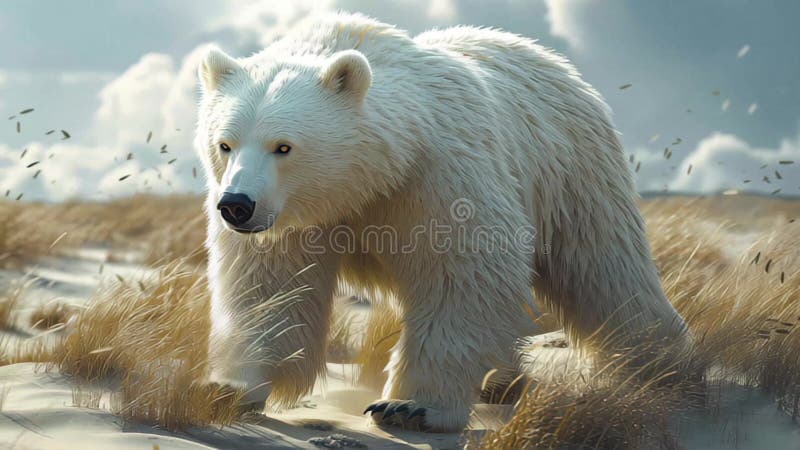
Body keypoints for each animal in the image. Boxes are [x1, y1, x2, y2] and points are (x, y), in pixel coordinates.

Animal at [195, 12, 687, 432]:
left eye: (283, 146)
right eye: (225, 144)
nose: (236, 205)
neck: (374, 174)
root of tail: (563, 67)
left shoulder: (439, 177)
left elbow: (463, 274)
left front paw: (409, 406)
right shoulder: (294, 220)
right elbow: (272, 287)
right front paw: (231, 387)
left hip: (572, 174)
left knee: (606, 275)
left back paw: (667, 368)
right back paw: (502, 378)